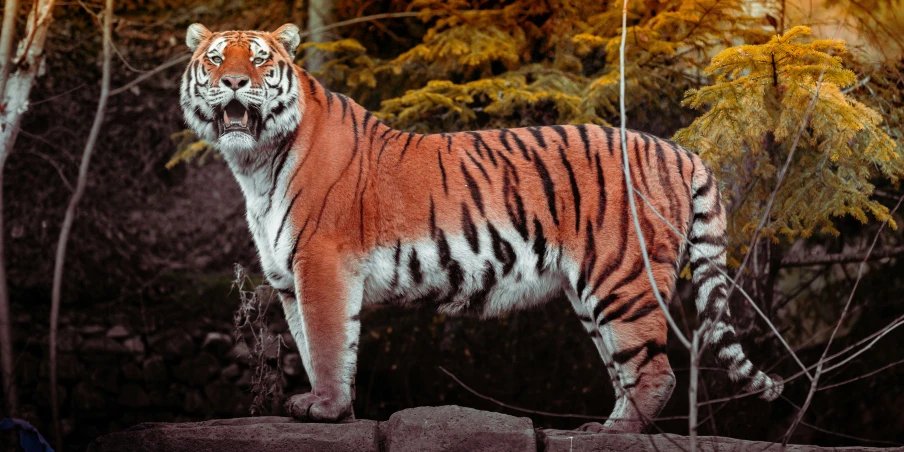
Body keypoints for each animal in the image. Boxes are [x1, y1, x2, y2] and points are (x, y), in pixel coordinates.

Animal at [180, 23, 780, 432]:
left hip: (624, 278)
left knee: (657, 372)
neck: (255, 163)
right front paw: (334, 410)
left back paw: (614, 435)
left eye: (260, 59)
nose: (233, 81)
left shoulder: (321, 263)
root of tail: (681, 150)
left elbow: (327, 346)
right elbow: (310, 345)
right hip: (592, 294)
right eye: (216, 58)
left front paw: (325, 409)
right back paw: (602, 426)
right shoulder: (288, 278)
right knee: (628, 369)